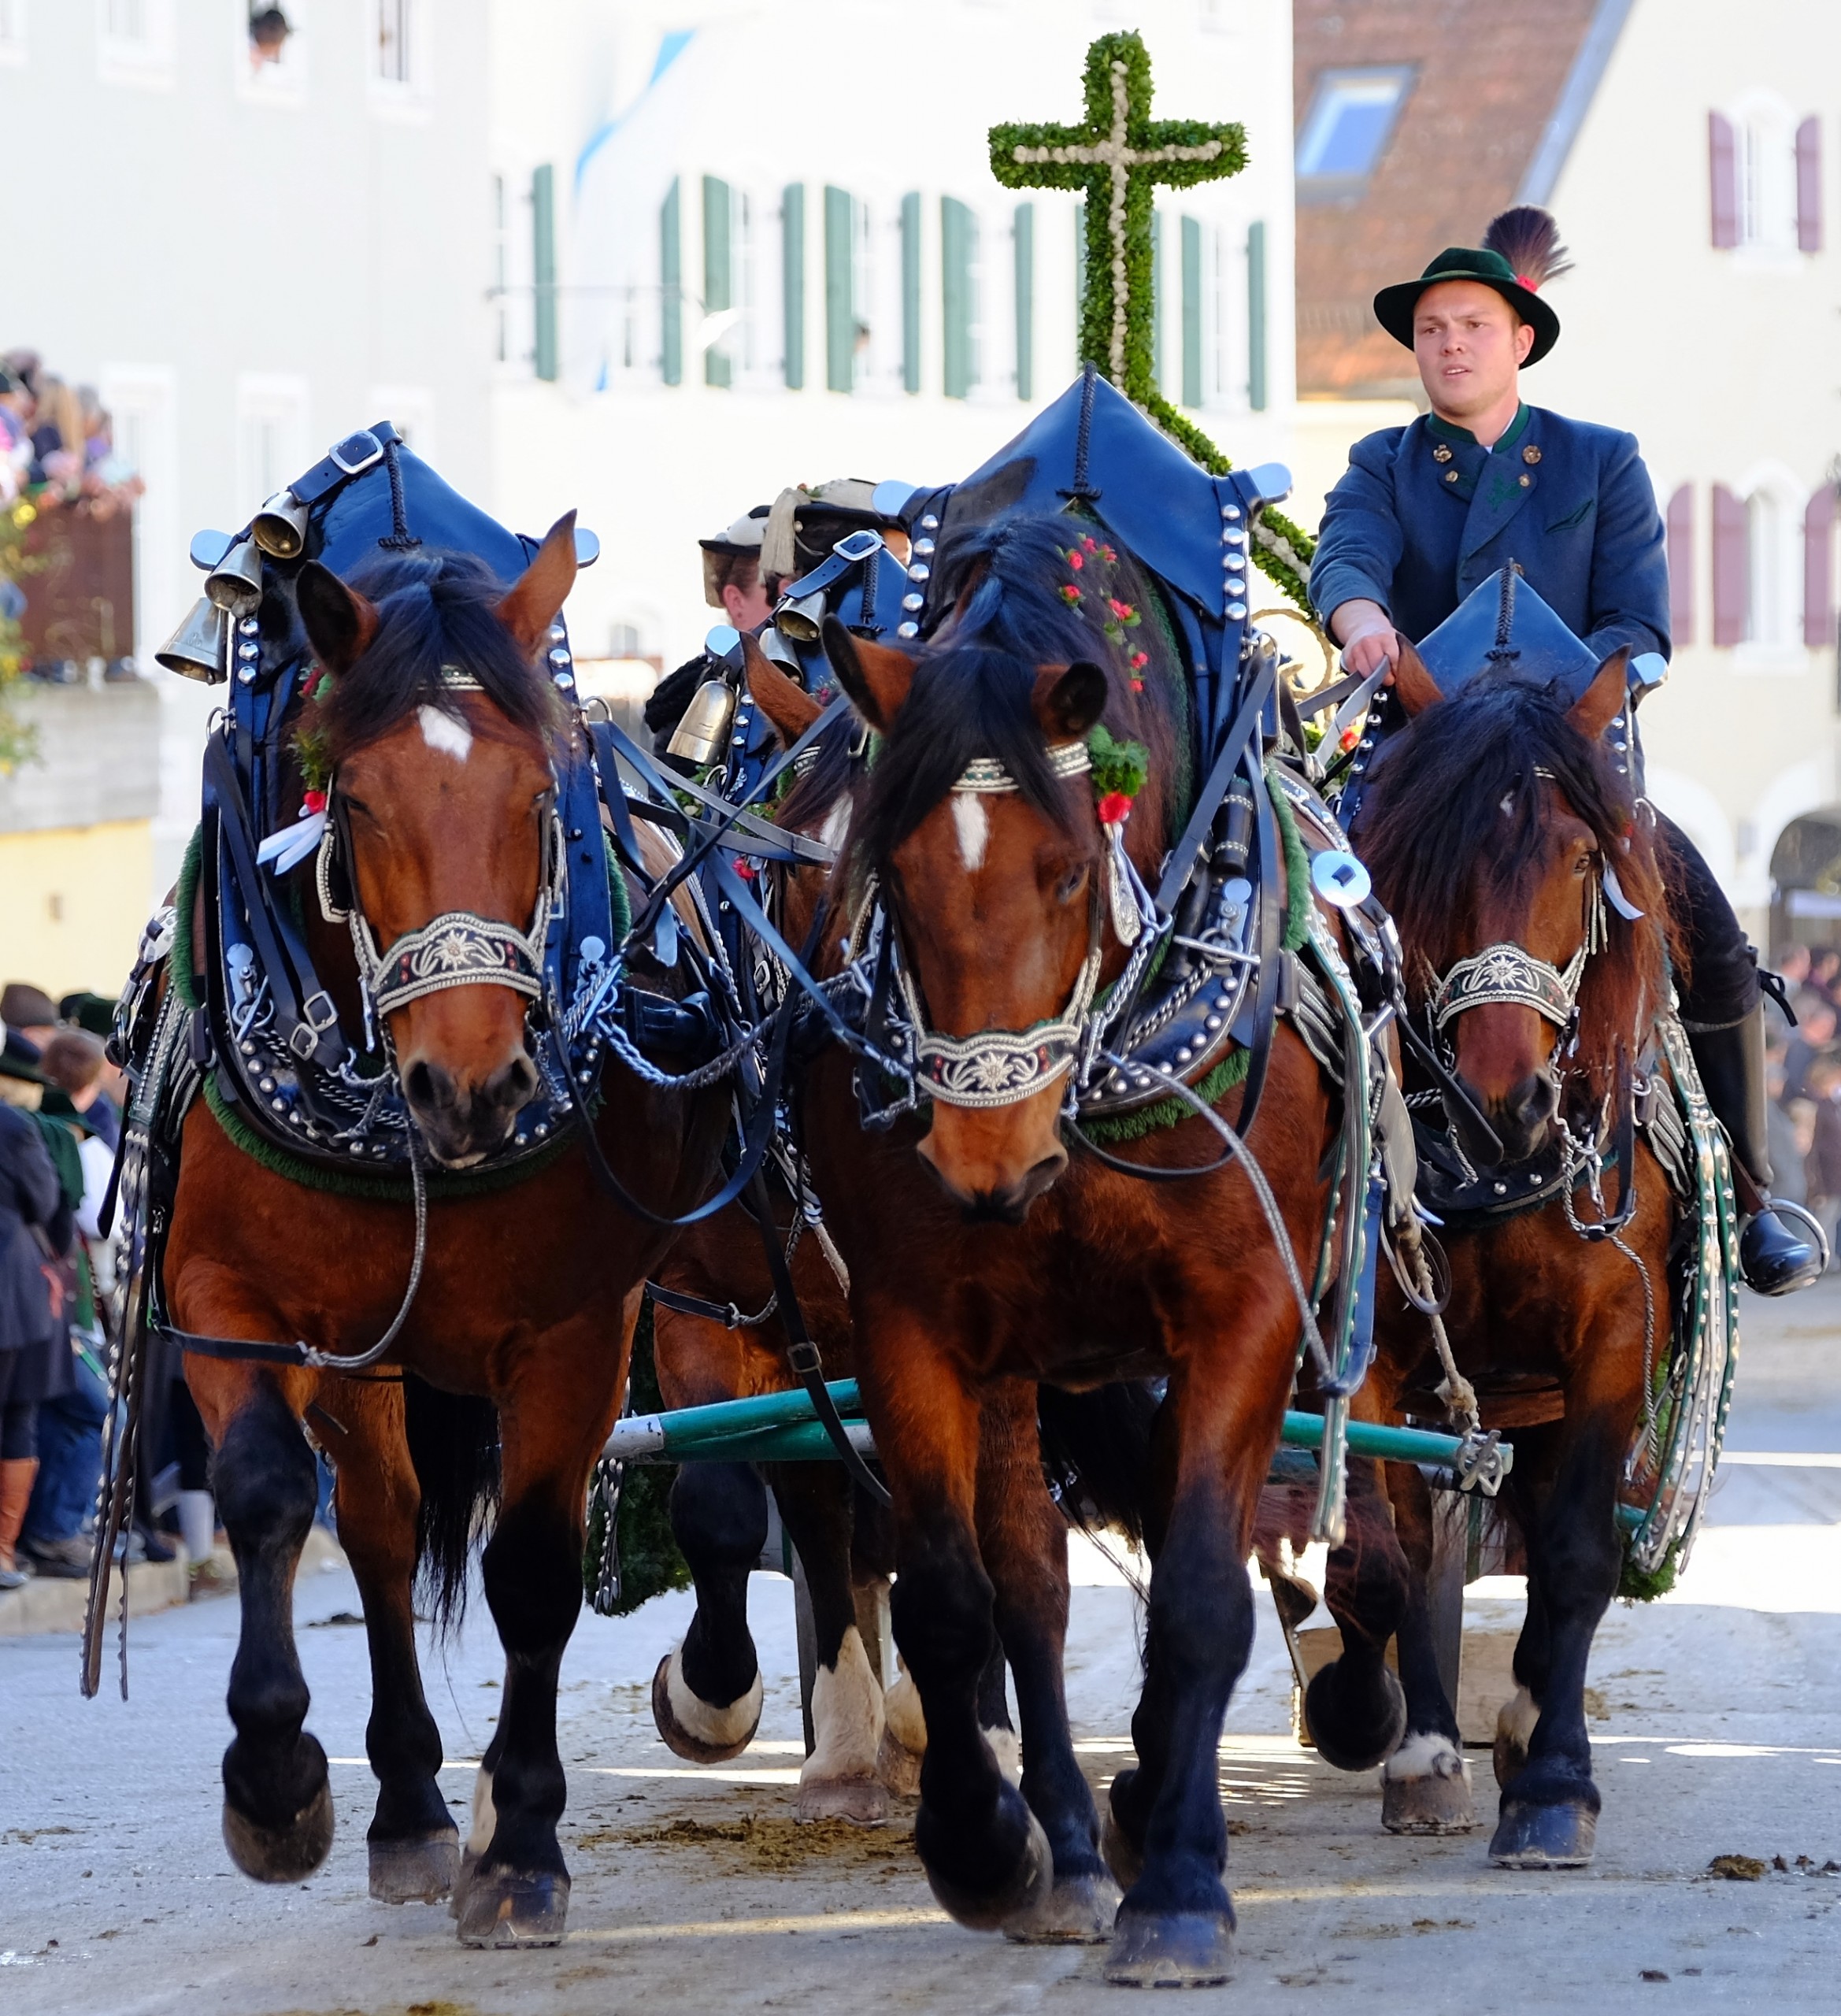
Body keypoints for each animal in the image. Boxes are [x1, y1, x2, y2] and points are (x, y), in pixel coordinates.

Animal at [782, 516, 1346, 1984]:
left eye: (1066, 873)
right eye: (890, 875)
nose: (988, 1164)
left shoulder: (1243, 1313)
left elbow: (1202, 1589)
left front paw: (1183, 1884)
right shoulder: (920, 1323)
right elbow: (955, 1595)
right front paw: (988, 1846)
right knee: (1031, 1585)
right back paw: (1080, 1840)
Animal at [1298, 649, 1677, 1870]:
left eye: (1579, 858)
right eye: (1423, 861)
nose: (1503, 1105)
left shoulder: (1613, 1336)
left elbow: (1573, 1555)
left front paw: (1554, 1782)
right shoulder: (1385, 1346)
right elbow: (1393, 1556)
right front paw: (1400, 1739)